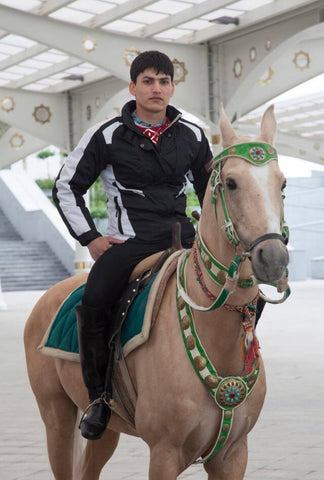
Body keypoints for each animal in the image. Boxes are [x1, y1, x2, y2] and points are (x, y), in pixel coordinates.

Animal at [24, 105, 288, 480]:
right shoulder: (164, 453)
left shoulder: (234, 454)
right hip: (56, 419)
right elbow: (68, 185)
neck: (215, 334)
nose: (274, 258)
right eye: (232, 183)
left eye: (282, 183)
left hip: (108, 430)